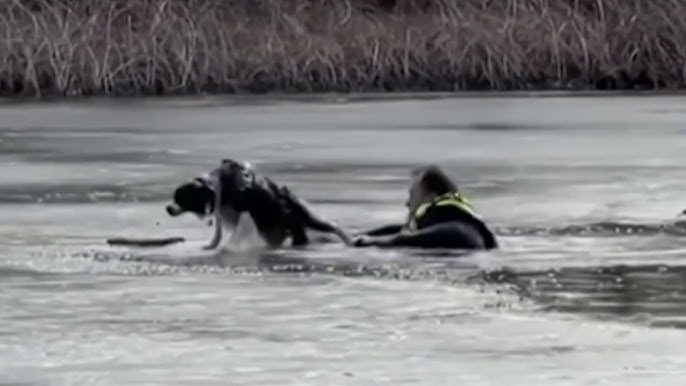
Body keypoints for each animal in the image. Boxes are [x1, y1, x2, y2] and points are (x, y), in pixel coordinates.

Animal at [167, 159, 354, 250]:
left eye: (181, 198)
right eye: (175, 197)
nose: (168, 208)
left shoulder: (245, 211)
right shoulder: (222, 209)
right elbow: (218, 232)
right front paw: (212, 245)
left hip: (297, 218)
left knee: (332, 226)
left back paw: (349, 241)